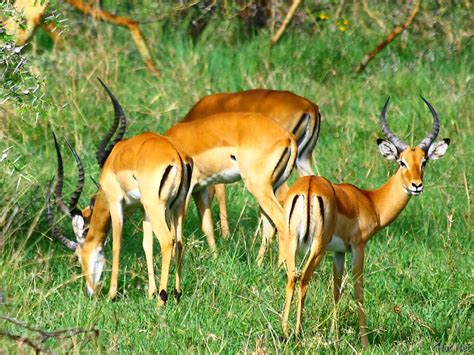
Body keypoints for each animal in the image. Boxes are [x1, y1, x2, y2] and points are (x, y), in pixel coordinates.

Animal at [284, 97, 450, 348]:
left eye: (424, 161)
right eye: (401, 162)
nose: (416, 185)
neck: (370, 200)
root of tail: (309, 186)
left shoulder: (339, 251)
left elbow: (337, 289)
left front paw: (335, 336)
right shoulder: (358, 246)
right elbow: (358, 290)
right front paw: (364, 342)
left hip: (293, 241)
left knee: (291, 278)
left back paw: (284, 332)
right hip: (317, 246)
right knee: (303, 279)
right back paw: (297, 333)